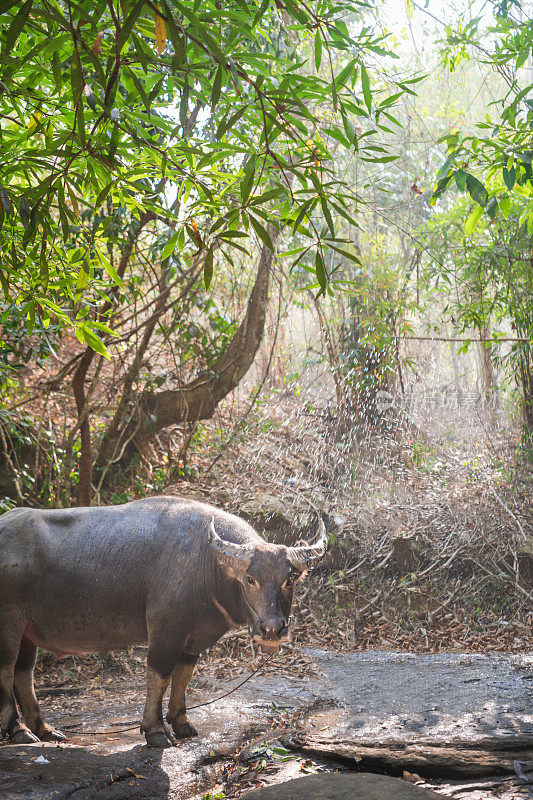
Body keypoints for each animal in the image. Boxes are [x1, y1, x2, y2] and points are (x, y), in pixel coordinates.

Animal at [0, 496, 328, 748]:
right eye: (250, 579)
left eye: (289, 580)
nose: (272, 628)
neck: (206, 563)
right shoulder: (165, 630)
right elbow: (158, 677)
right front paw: (156, 731)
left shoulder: (193, 637)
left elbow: (183, 677)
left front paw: (181, 723)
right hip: (9, 624)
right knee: (7, 669)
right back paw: (18, 730)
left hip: (27, 630)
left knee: (24, 674)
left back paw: (44, 729)